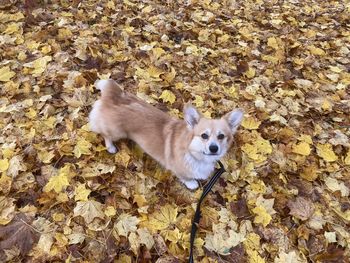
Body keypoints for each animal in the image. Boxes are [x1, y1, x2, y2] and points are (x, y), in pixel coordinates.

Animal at [89, 79, 243, 190]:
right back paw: (110, 147)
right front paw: (191, 183)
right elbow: (185, 177)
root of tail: (114, 95)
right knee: (105, 135)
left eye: (221, 136)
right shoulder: (178, 168)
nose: (214, 148)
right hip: (117, 132)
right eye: (204, 135)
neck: (194, 153)